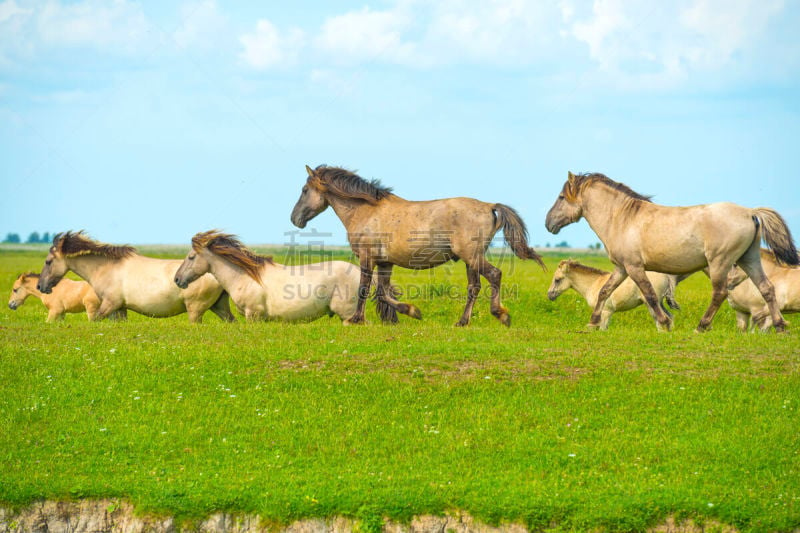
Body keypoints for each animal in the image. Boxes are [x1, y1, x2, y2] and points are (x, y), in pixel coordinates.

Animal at [36, 231, 234, 322]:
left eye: (48, 261)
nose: (40, 286)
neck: (107, 268)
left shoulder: (109, 305)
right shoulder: (120, 309)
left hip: (195, 310)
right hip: (219, 307)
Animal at [175, 229, 390, 320]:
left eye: (191, 257)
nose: (177, 279)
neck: (246, 277)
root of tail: (359, 272)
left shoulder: (253, 315)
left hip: (347, 313)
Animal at [288, 164, 544, 326]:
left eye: (304, 190)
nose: (295, 219)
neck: (367, 211)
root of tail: (489, 205)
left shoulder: (367, 258)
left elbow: (364, 289)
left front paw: (355, 320)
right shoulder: (385, 262)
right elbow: (382, 292)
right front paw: (411, 312)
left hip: (472, 257)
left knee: (494, 275)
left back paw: (501, 315)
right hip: (471, 260)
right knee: (474, 287)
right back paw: (462, 322)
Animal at [548, 258, 680, 328]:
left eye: (557, 279)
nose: (549, 295)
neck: (594, 283)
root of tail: (666, 277)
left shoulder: (606, 312)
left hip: (651, 303)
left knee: (662, 319)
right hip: (660, 303)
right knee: (670, 317)